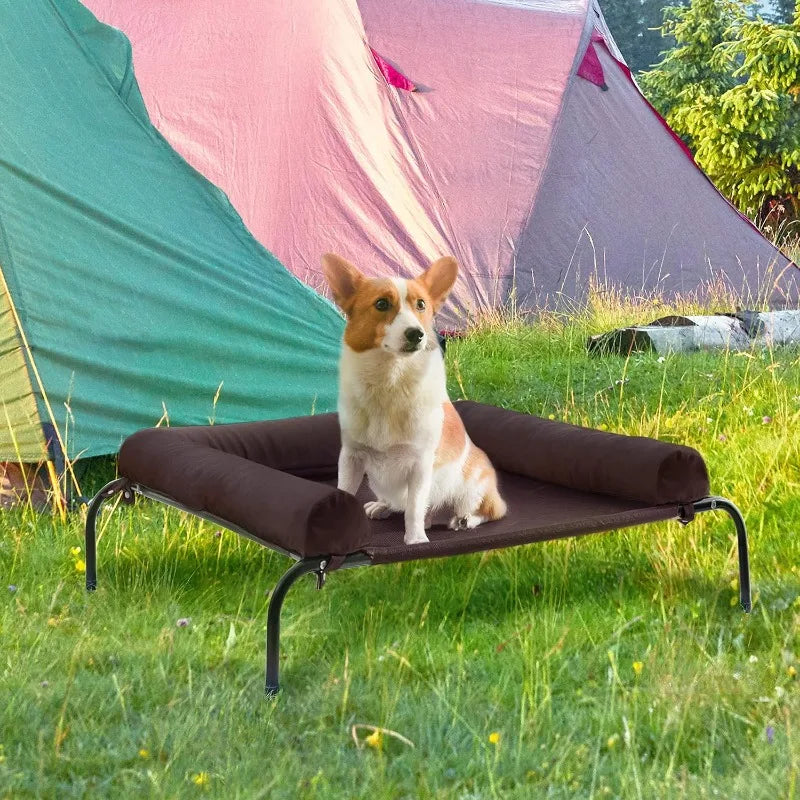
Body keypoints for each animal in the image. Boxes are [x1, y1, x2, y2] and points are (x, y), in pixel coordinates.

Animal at [320, 253, 504, 548]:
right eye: (381, 304)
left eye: (421, 305)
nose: (416, 334)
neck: (389, 381)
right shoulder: (351, 456)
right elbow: (345, 492)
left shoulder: (419, 465)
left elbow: (415, 509)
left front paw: (415, 540)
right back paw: (383, 507)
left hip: (472, 488)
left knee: (488, 511)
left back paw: (463, 521)